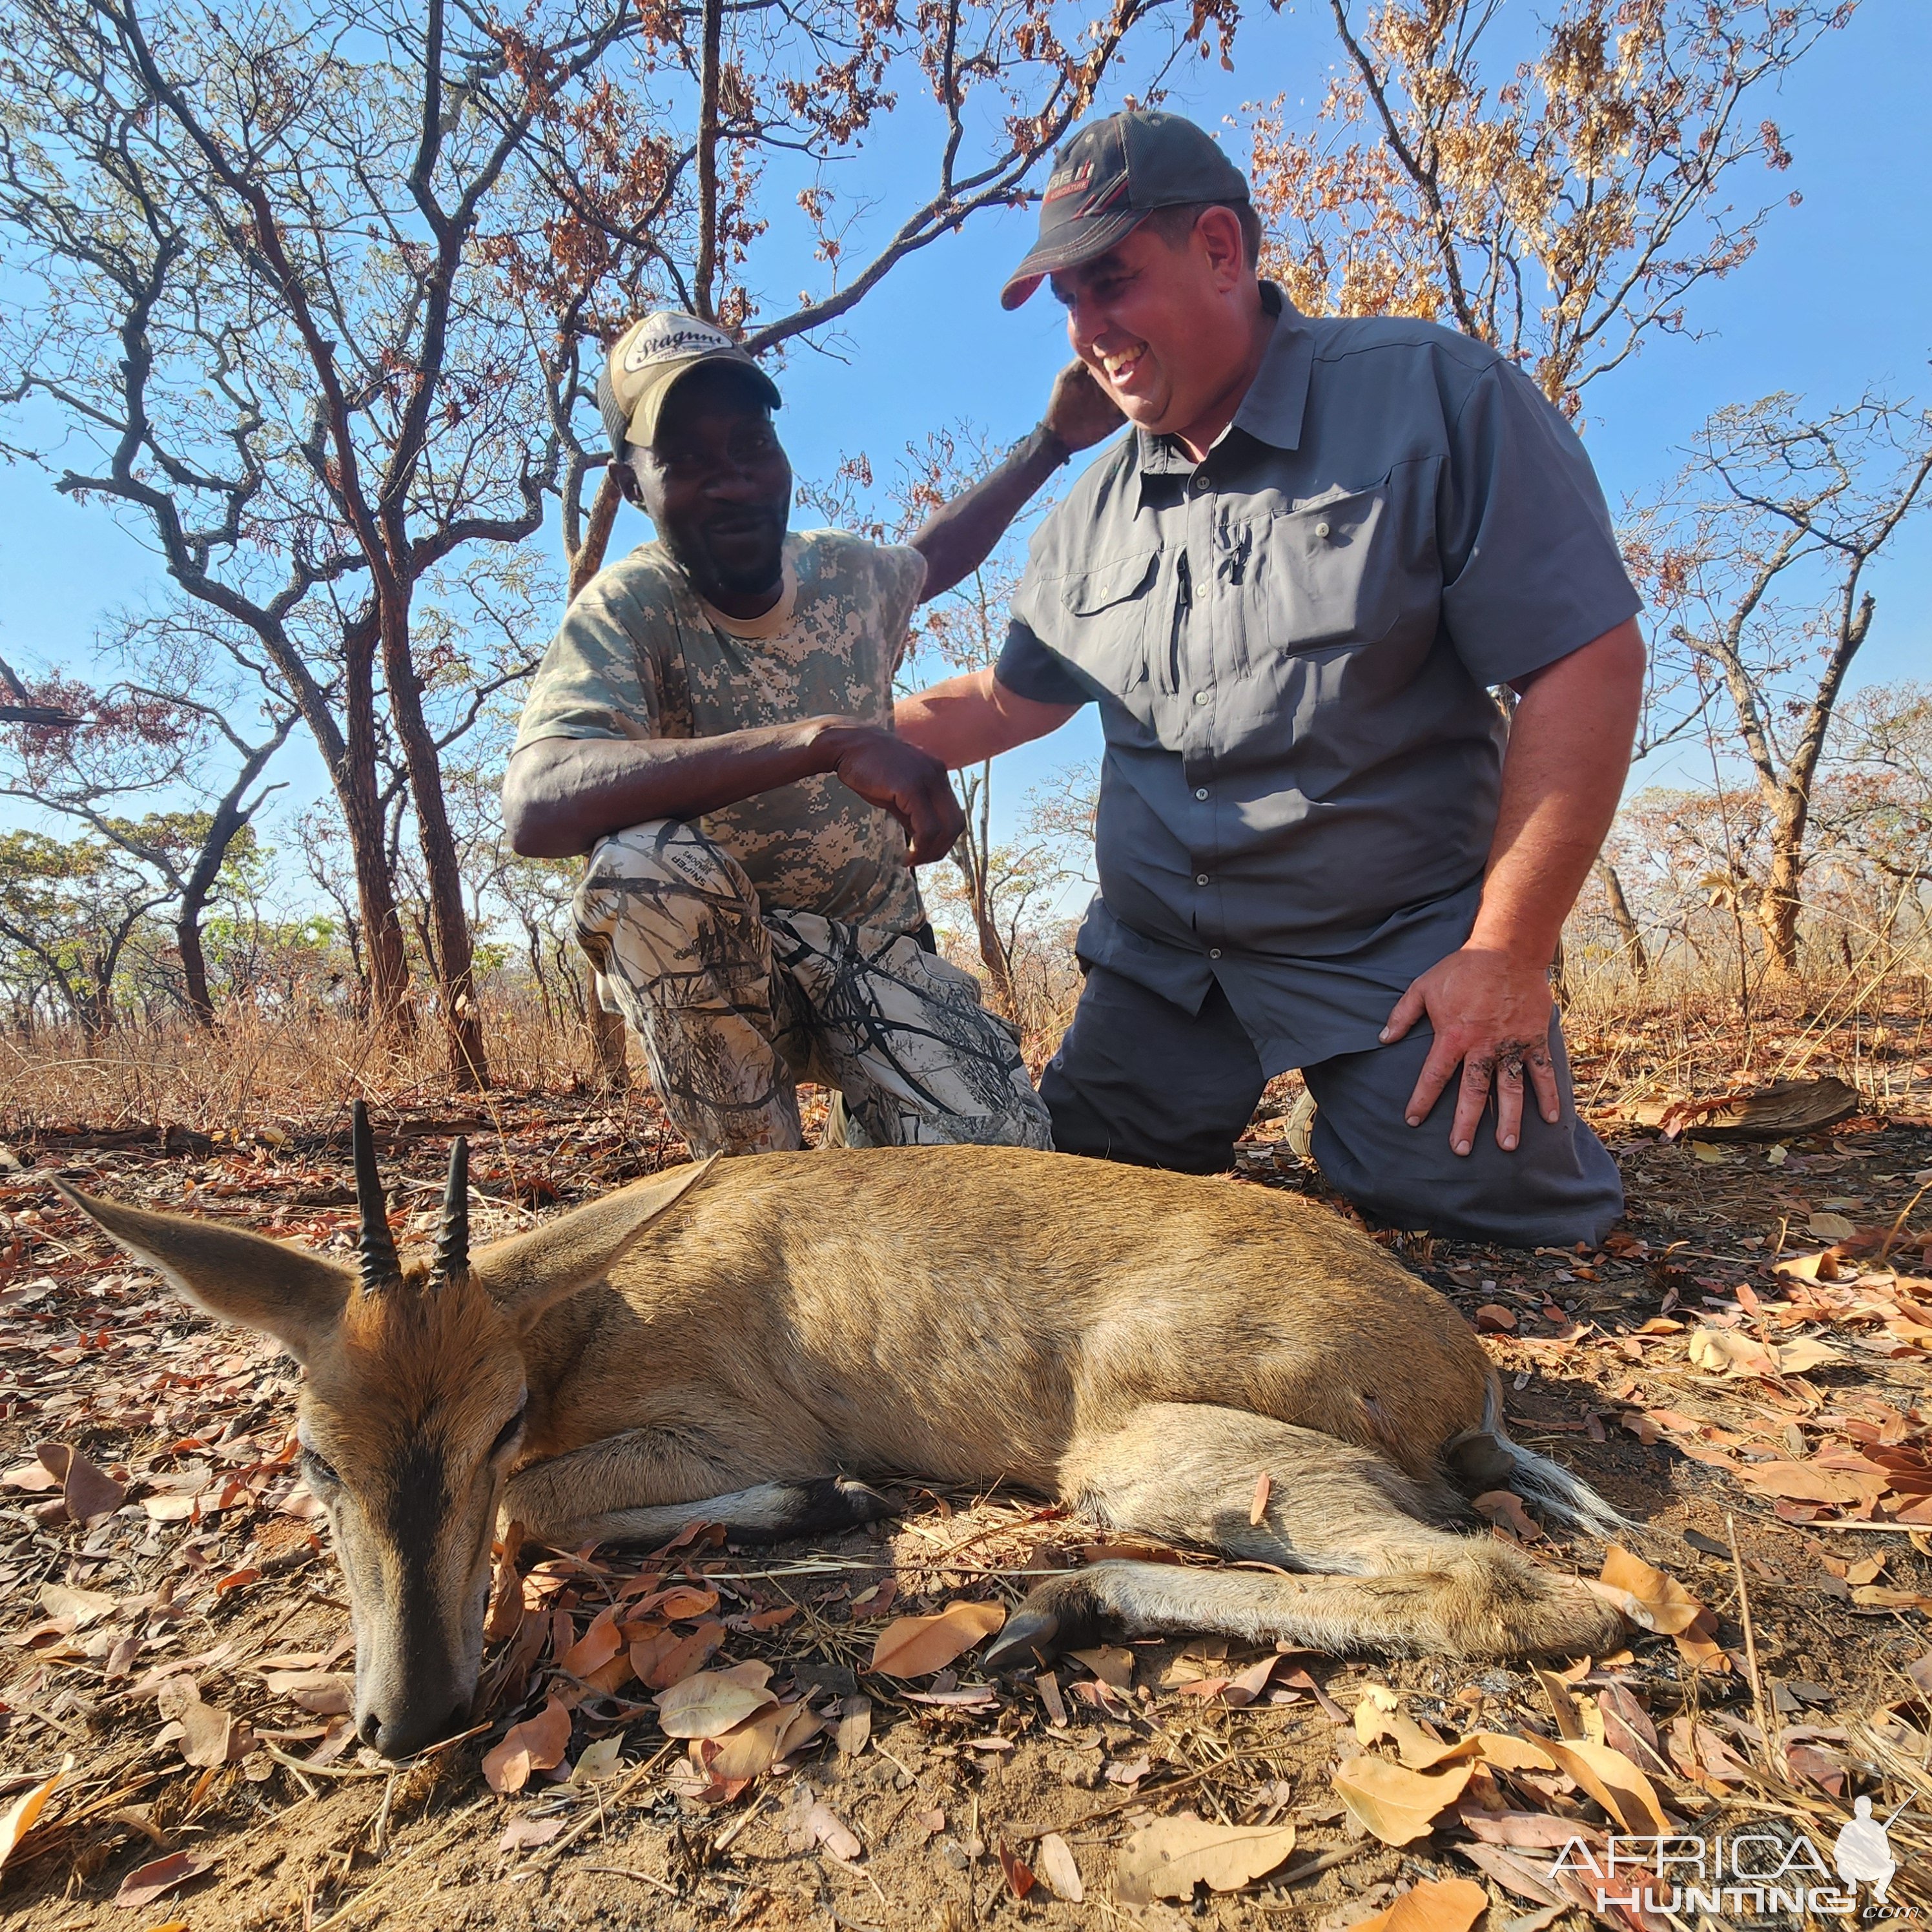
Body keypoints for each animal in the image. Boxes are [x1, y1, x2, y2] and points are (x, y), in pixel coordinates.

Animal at [56, 1105, 1630, 1754]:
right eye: (314, 1453)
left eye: (497, 1426)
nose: (414, 1717)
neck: (582, 1302)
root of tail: (1457, 1363)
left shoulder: (715, 1432)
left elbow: (542, 1510)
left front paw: (828, 1502)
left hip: (1140, 1459)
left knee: (1511, 1586)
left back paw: (1048, 1605)